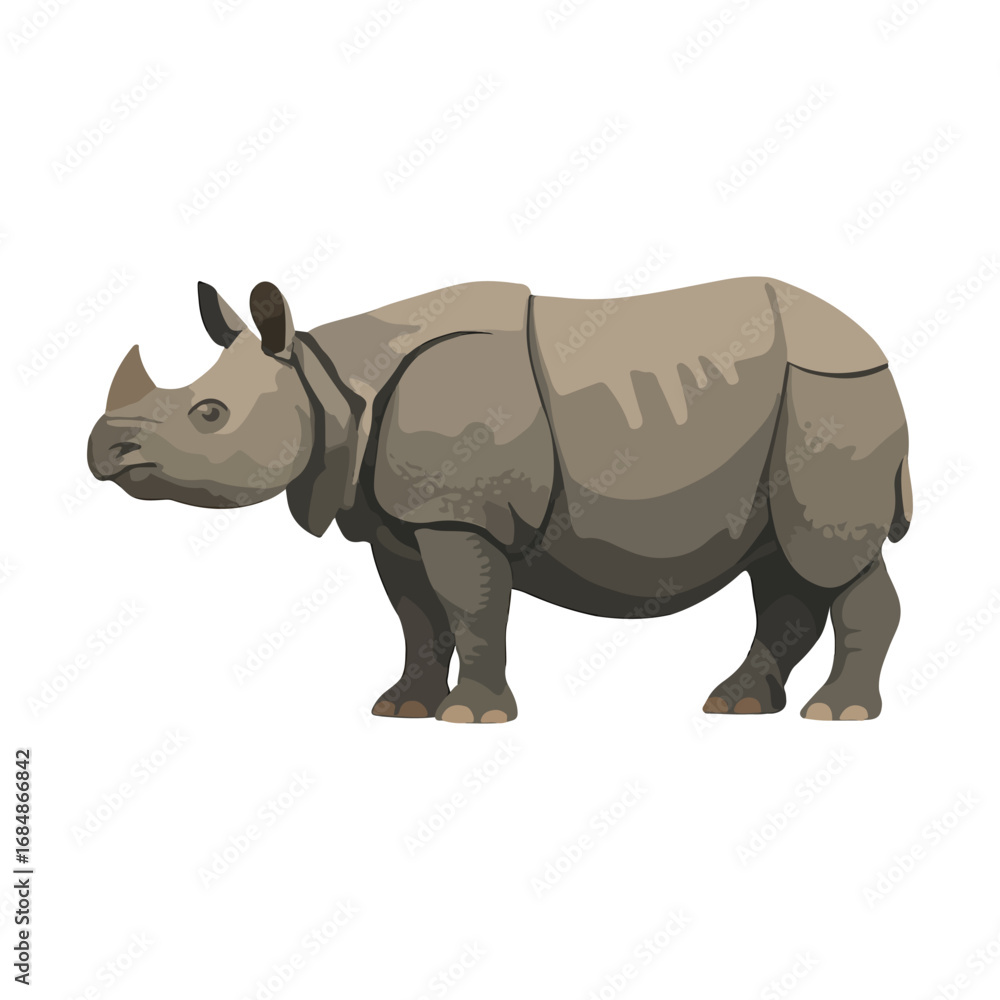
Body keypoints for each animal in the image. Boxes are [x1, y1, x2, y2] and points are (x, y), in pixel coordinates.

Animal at [88, 277, 910, 723]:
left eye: (209, 415)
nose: (103, 451)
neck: (329, 381)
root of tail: (878, 350)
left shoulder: (457, 513)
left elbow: (471, 606)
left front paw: (469, 716)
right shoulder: (396, 520)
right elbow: (417, 617)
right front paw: (401, 709)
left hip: (834, 392)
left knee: (829, 556)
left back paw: (839, 713)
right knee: (782, 562)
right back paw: (738, 706)